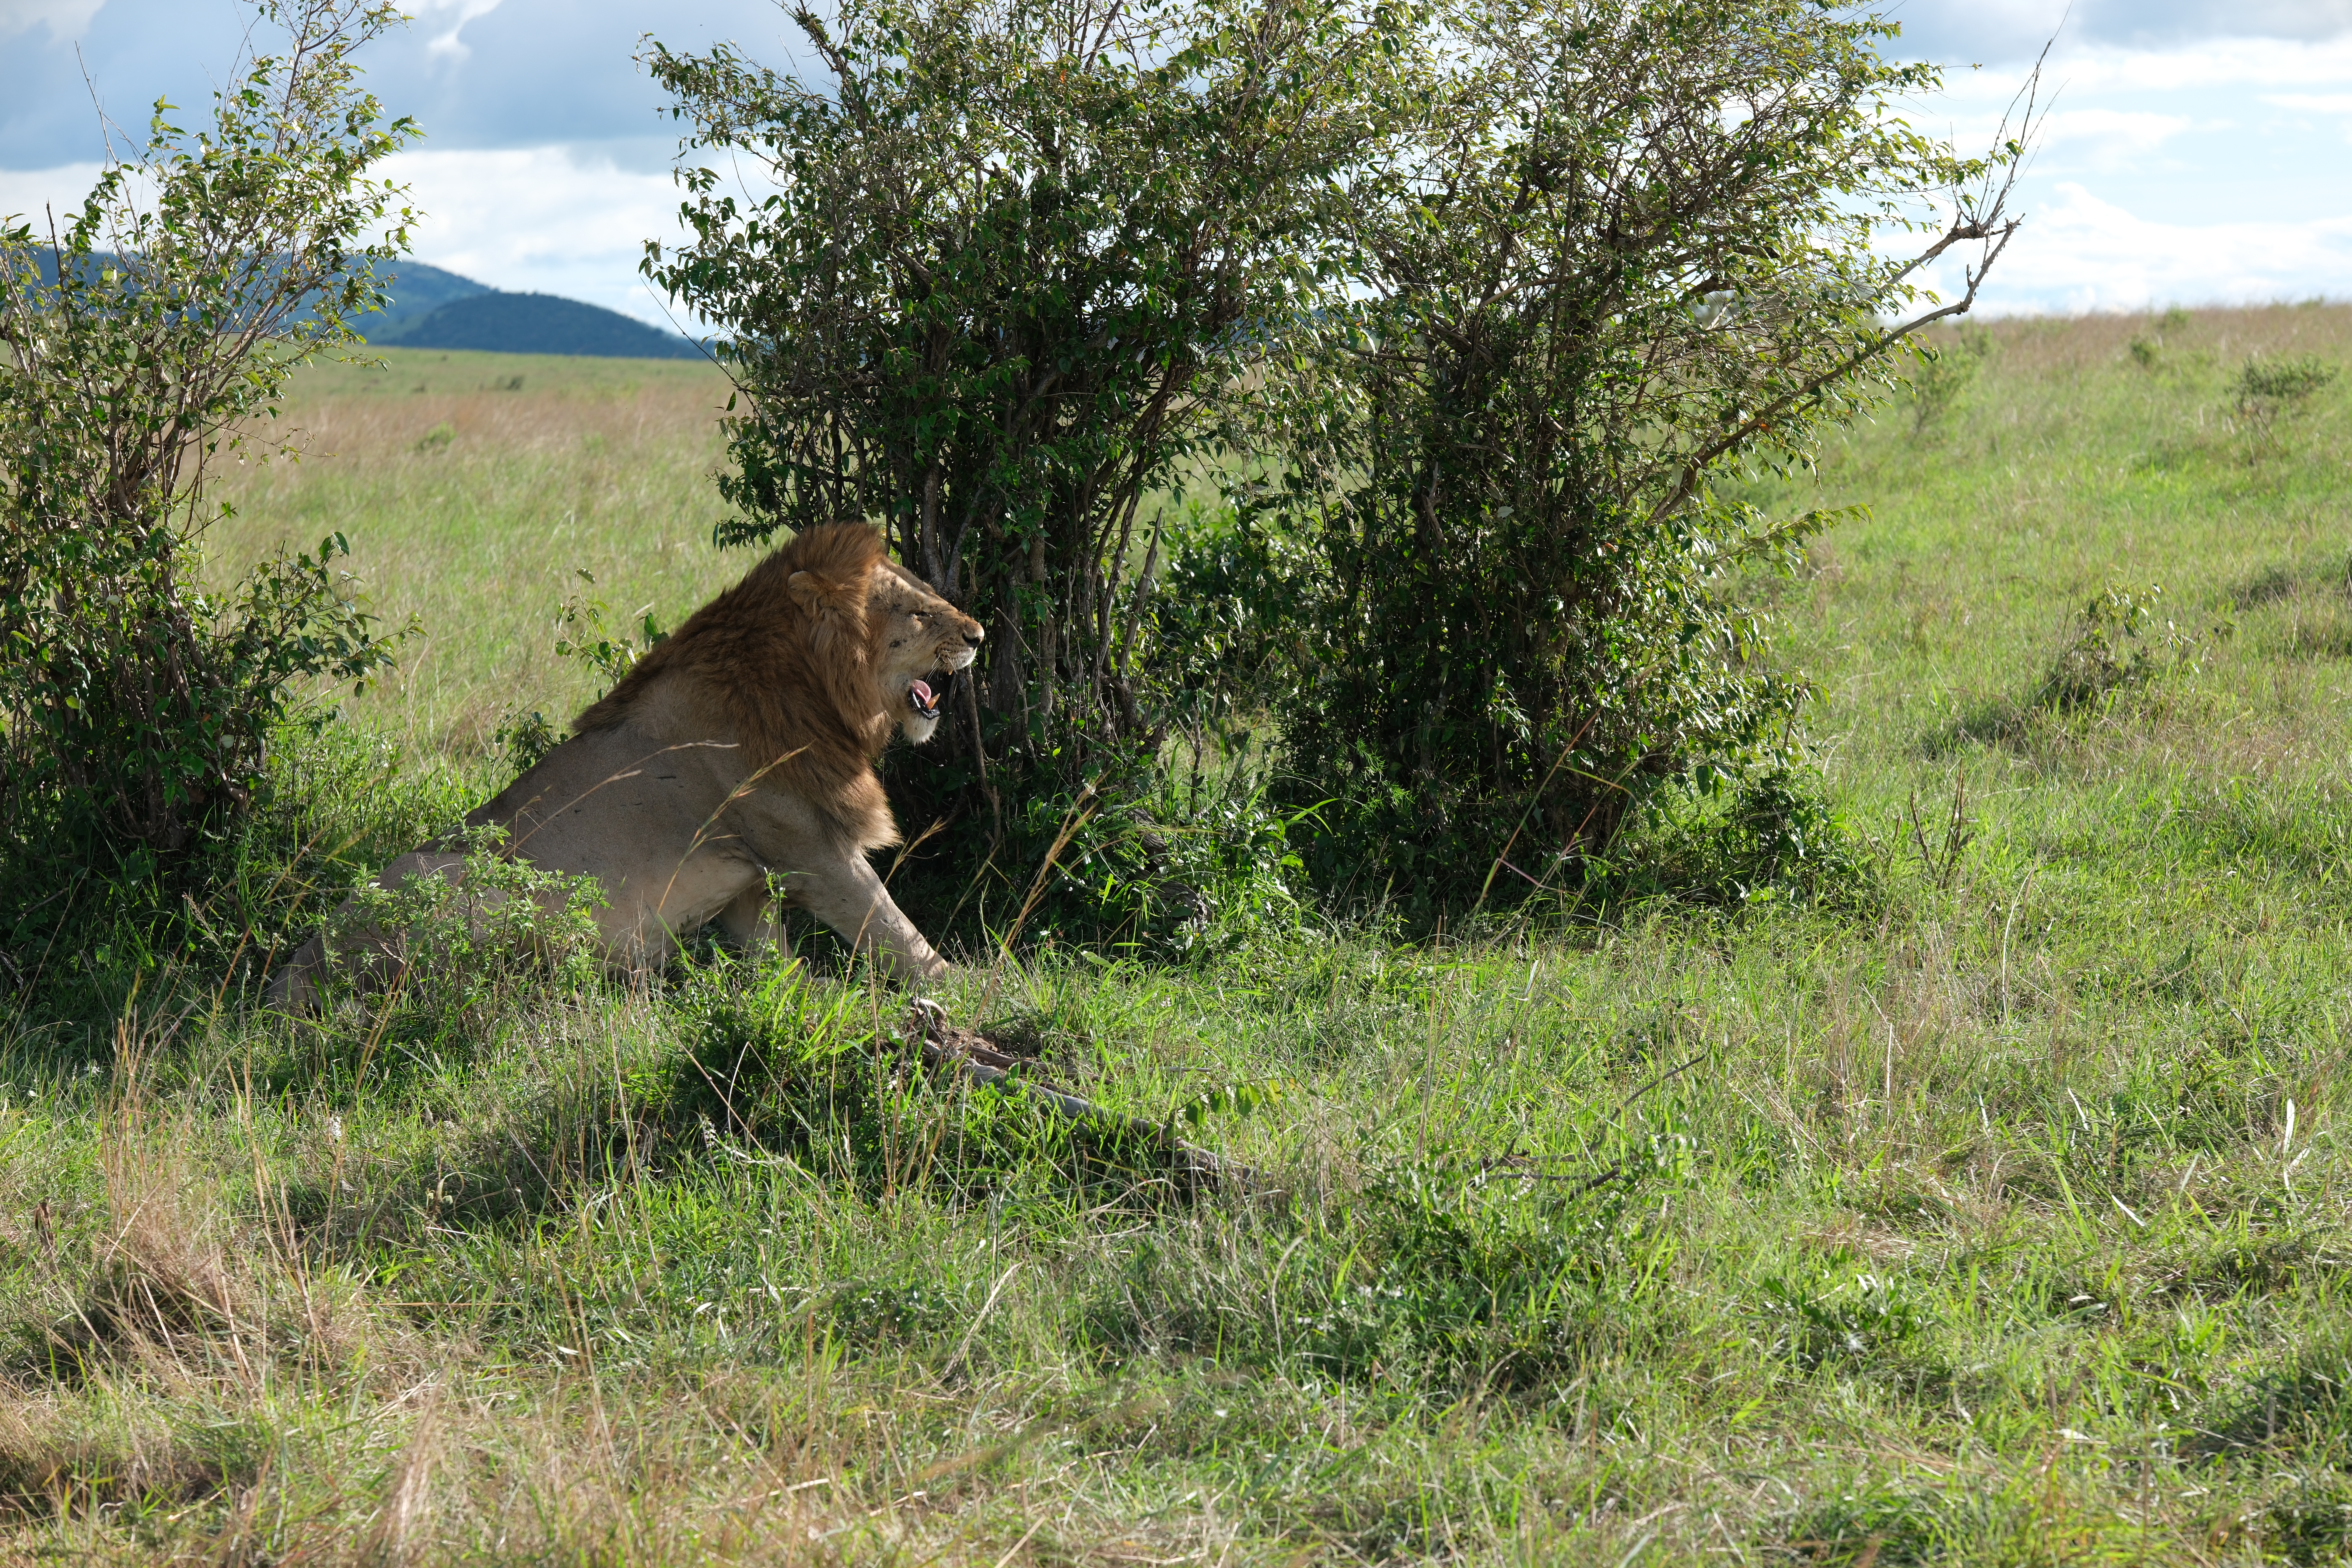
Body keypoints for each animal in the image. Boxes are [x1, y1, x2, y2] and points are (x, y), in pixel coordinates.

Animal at [268, 523, 982, 1009]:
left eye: (929, 592)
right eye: (919, 611)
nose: (977, 635)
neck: (818, 693)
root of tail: (291, 976)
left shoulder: (748, 886)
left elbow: (781, 963)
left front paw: (810, 1000)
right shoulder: (811, 851)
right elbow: (896, 931)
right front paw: (973, 986)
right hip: (481, 891)